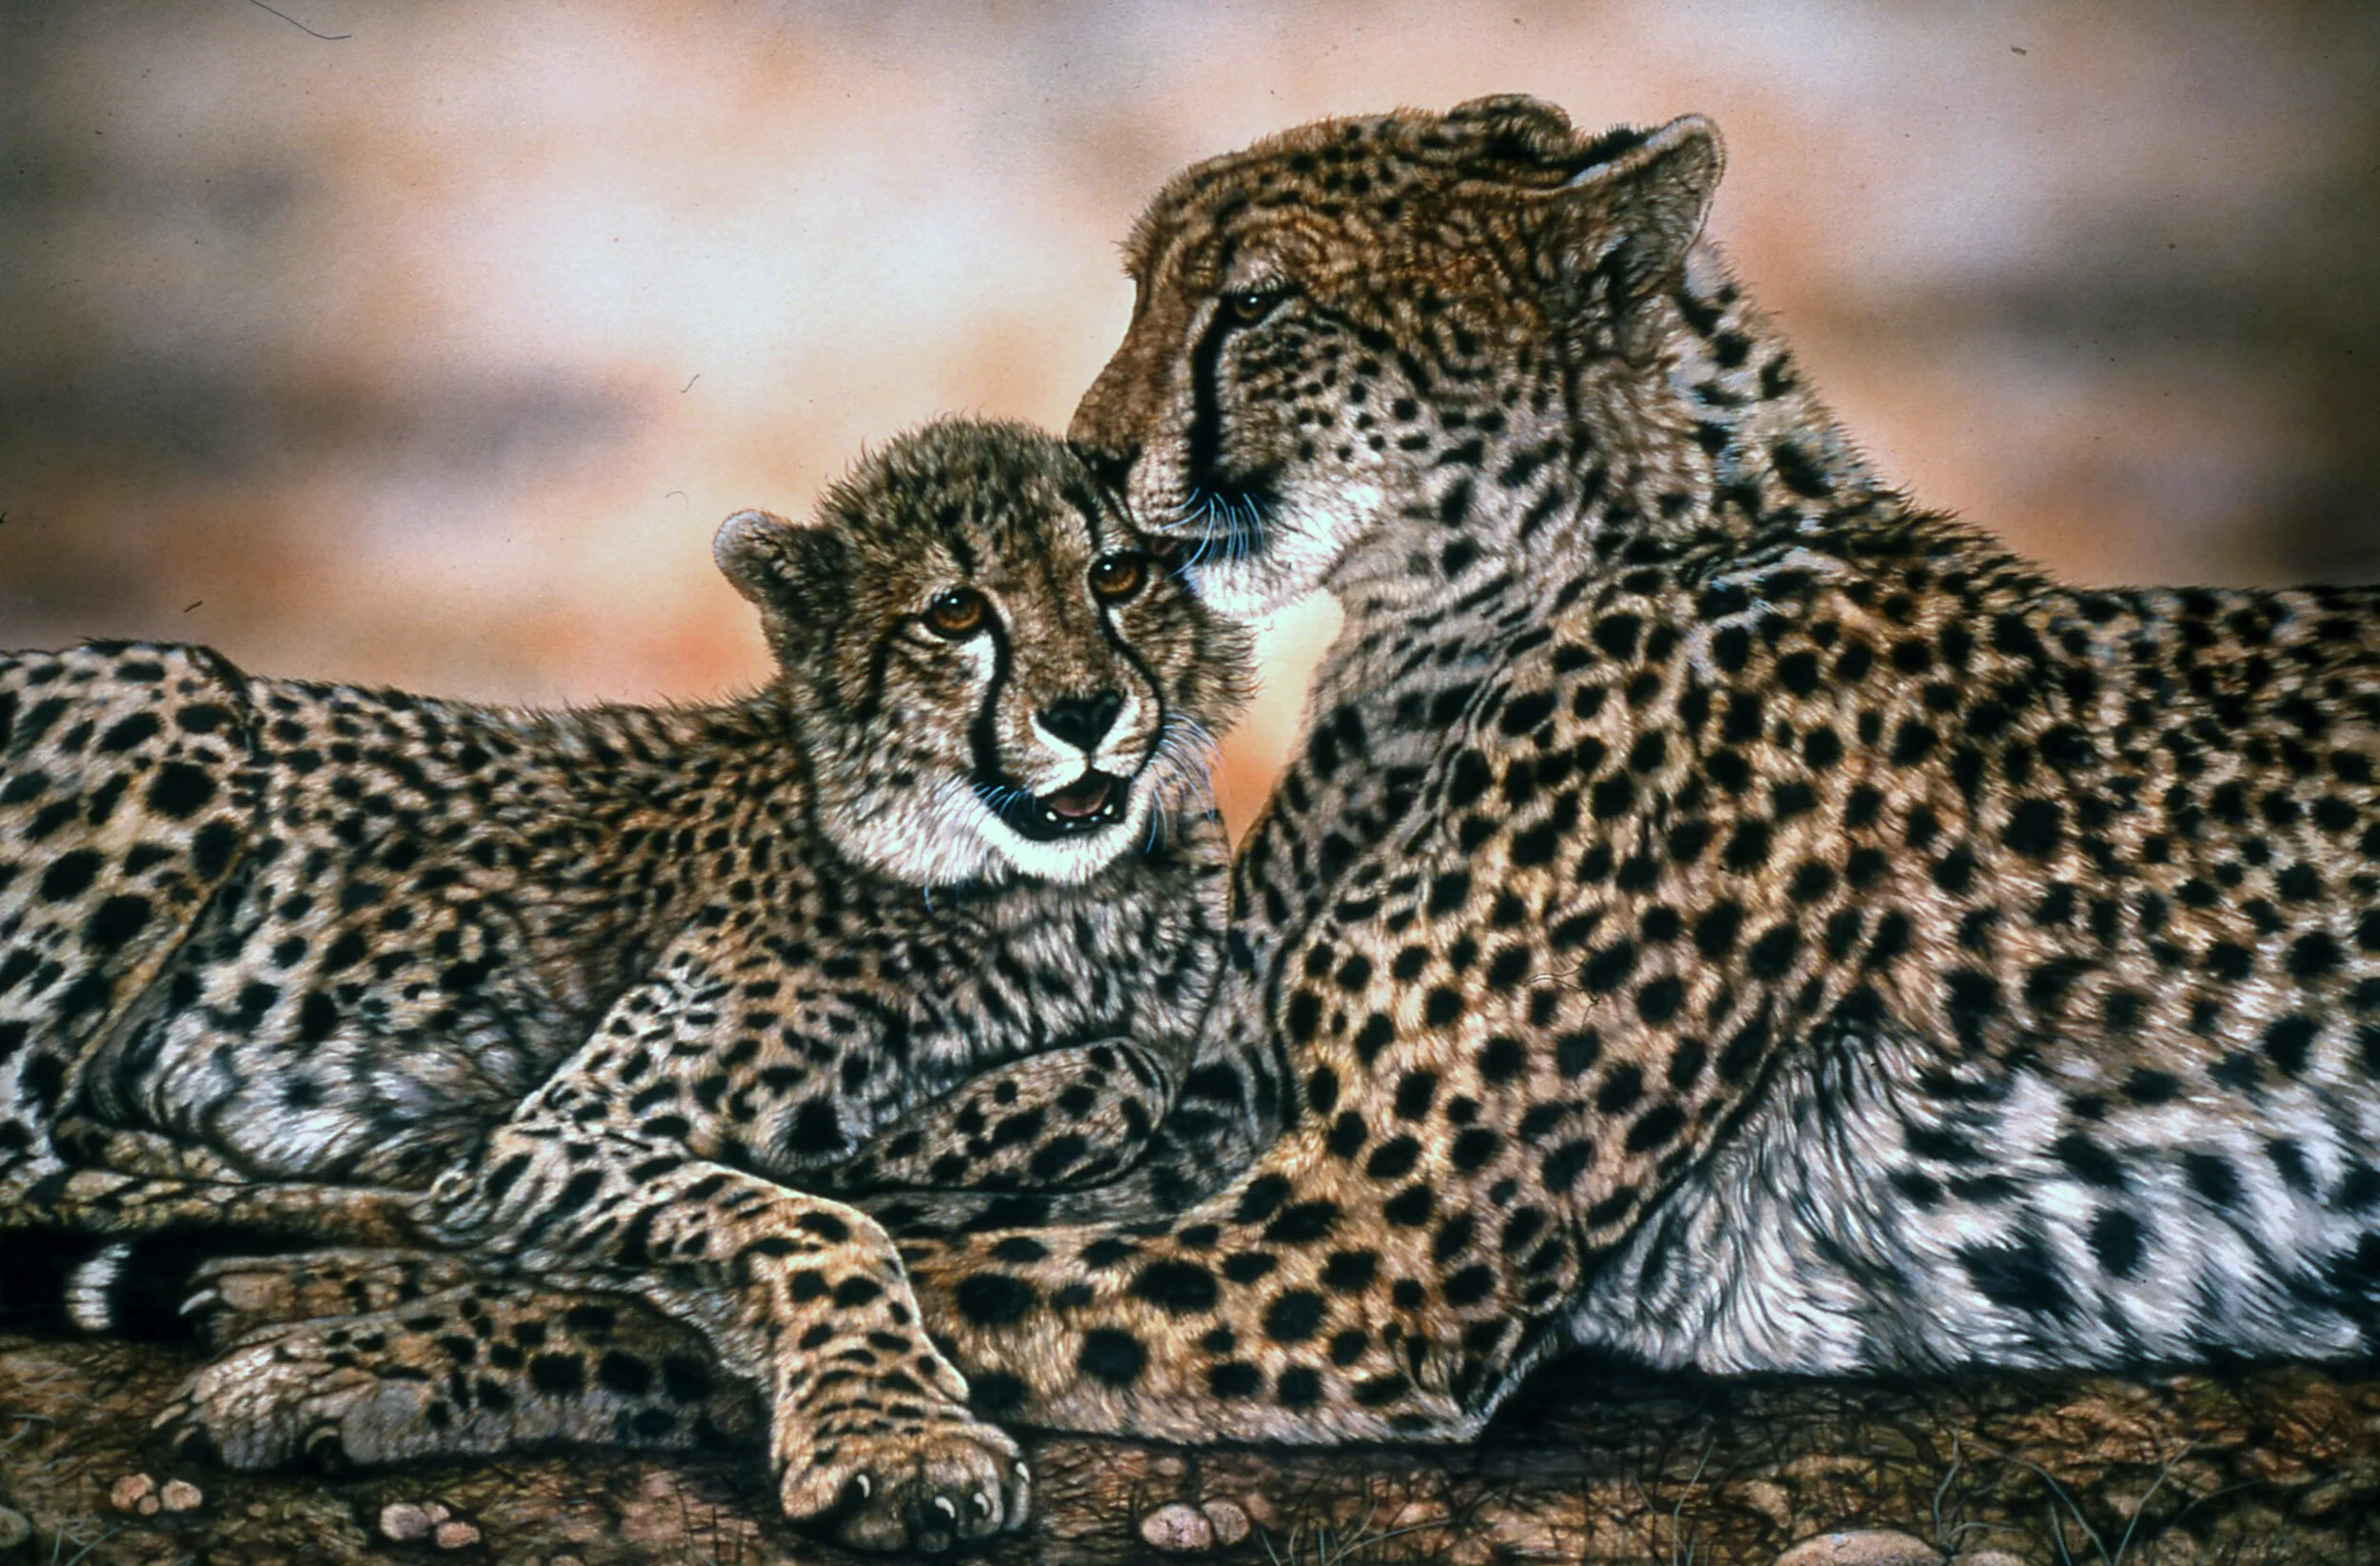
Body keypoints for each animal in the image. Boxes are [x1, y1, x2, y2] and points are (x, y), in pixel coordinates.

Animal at [0, 416, 1252, 1551]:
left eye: (1116, 574)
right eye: (955, 610)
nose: (1085, 713)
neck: (1041, 893)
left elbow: (1117, 1073)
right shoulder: (552, 1130)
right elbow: (814, 1217)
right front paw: (899, 1438)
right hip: (182, 693)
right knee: (33, 1166)